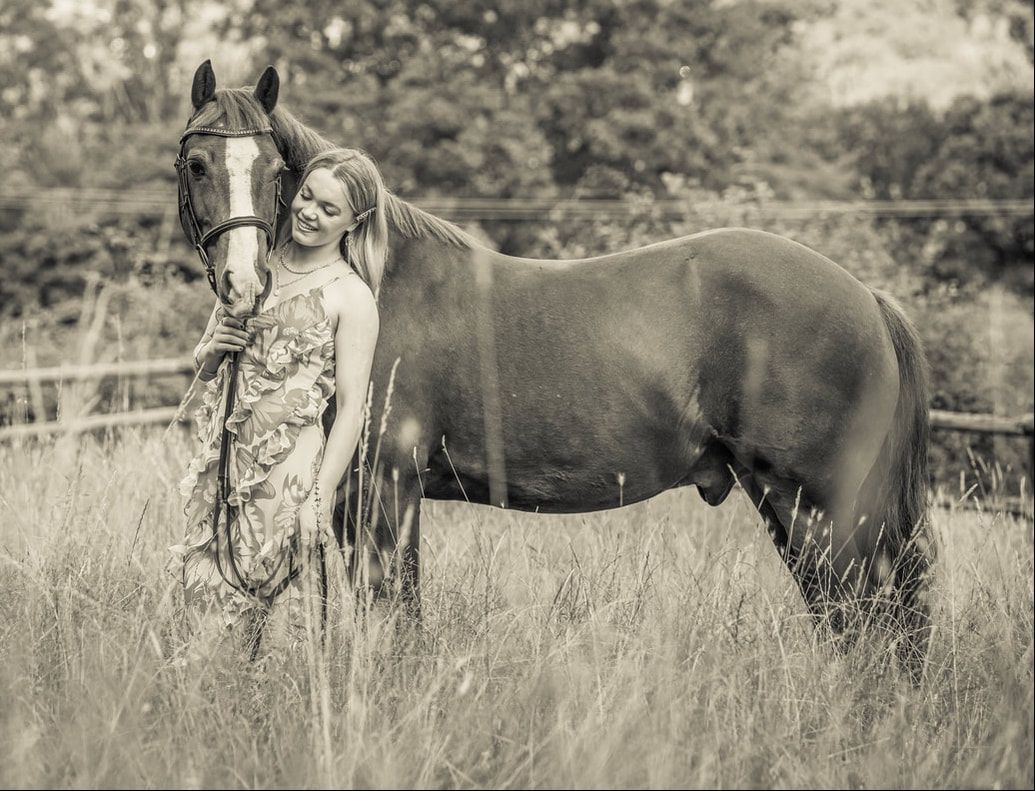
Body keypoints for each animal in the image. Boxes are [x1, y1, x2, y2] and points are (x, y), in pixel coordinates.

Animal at [176, 61, 935, 677]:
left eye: (275, 173)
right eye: (198, 165)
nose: (244, 285)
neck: (377, 279)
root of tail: (867, 298)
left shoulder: (386, 491)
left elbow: (393, 612)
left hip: (820, 509)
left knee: (865, 621)